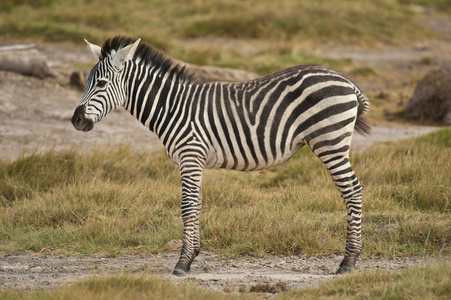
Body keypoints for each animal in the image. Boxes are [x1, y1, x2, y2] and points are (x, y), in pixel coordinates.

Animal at [72, 36, 372, 276]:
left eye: (101, 83)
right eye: (86, 82)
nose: (76, 120)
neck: (172, 107)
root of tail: (344, 79)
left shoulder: (190, 155)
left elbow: (187, 206)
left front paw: (182, 264)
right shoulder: (194, 161)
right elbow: (197, 204)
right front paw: (192, 256)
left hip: (330, 141)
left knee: (352, 190)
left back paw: (348, 262)